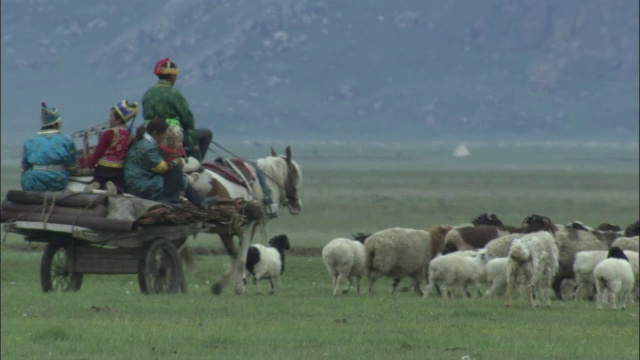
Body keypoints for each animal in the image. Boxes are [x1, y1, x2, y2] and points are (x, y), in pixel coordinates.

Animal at [190, 146, 302, 296]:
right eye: (294, 173)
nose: (297, 205)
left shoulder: (227, 229)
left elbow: (236, 255)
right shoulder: (245, 226)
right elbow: (240, 257)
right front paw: (237, 286)